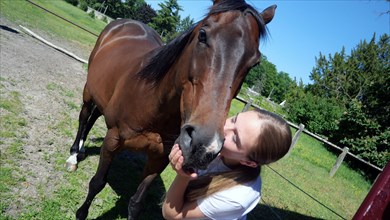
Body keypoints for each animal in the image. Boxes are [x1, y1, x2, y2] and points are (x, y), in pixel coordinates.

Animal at [68, 0, 276, 219]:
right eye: (203, 35)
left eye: (255, 62)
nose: (204, 146)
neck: (153, 104)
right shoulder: (112, 140)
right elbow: (97, 183)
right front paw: (81, 212)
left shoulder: (159, 158)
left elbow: (136, 202)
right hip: (89, 92)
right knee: (84, 117)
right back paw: (73, 155)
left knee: (93, 116)